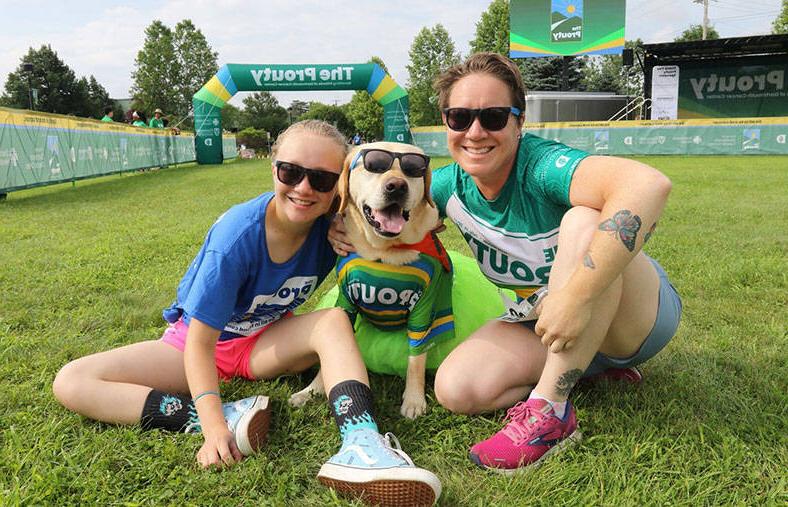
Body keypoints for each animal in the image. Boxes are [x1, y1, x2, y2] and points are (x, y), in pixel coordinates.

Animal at [290, 141, 452, 418]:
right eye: (374, 165)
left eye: (413, 168)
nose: (397, 186)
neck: (384, 252)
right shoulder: (345, 303)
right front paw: (311, 391)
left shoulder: (423, 309)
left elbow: (416, 360)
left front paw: (414, 399)